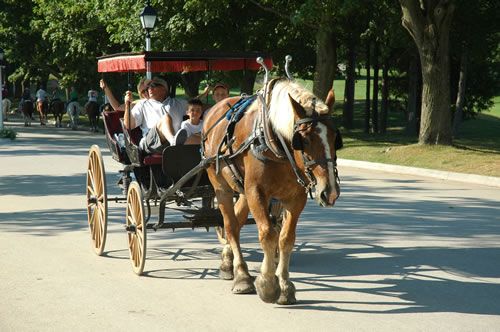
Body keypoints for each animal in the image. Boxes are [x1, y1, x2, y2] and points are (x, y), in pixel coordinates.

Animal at [201, 79, 342, 304]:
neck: (276, 144)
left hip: (242, 190)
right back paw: (242, 276)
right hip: (222, 187)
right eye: (304, 139)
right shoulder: (256, 192)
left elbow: (285, 238)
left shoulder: (296, 197)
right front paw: (267, 283)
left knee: (237, 221)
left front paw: (284, 285)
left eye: (334, 137)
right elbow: (267, 234)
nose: (330, 192)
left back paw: (228, 262)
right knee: (230, 226)